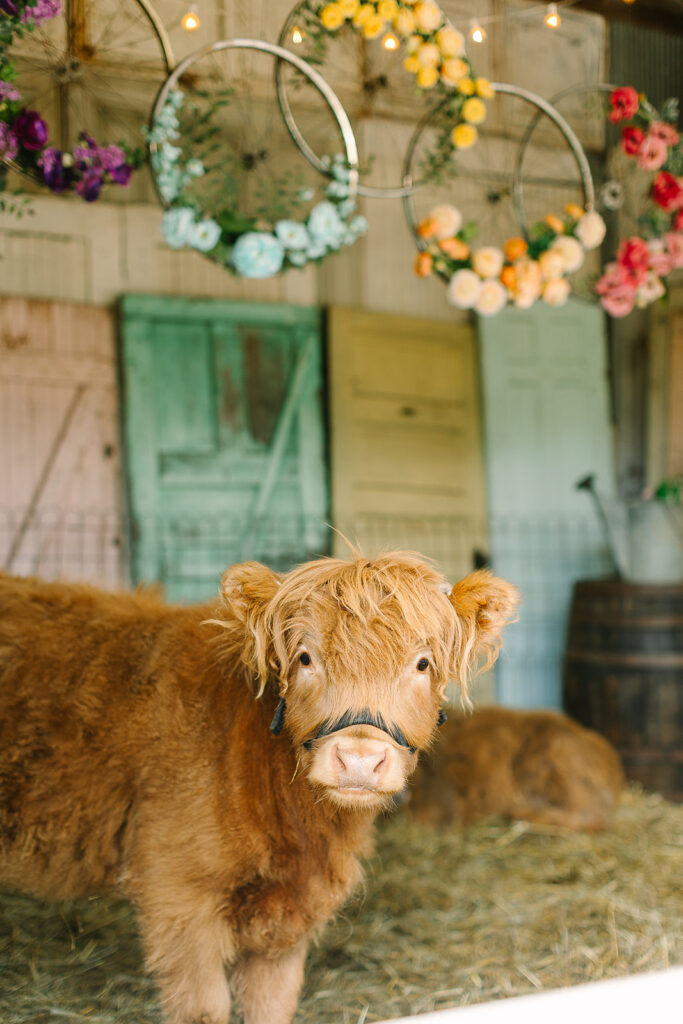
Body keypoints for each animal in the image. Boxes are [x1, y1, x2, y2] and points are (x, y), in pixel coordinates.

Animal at [0, 552, 518, 1024]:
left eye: (422, 663)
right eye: (306, 657)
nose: (358, 759)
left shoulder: (291, 910)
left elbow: (272, 1003)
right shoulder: (176, 893)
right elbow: (204, 1009)